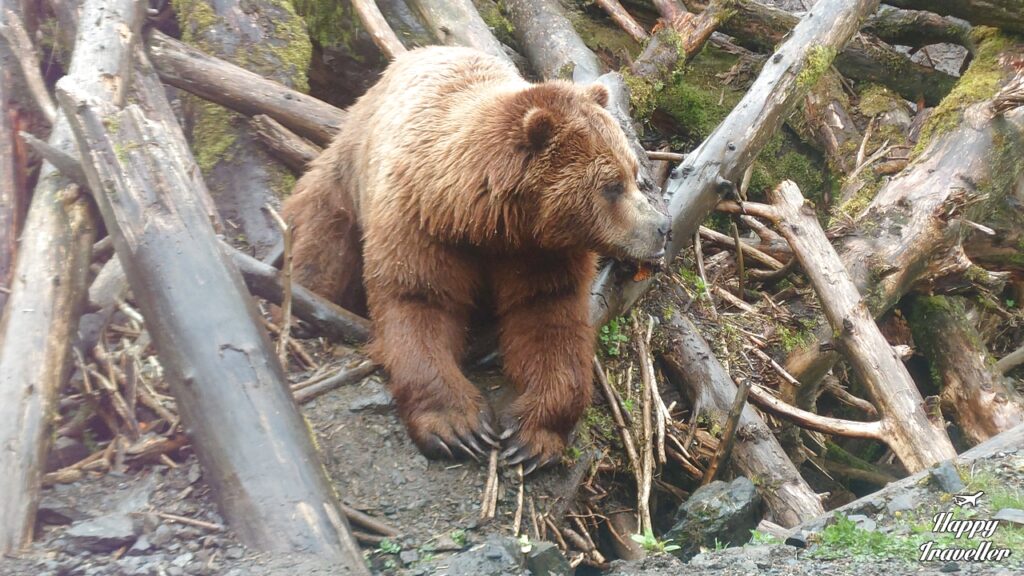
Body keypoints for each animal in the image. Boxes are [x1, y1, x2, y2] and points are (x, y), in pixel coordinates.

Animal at [283, 46, 669, 472]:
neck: (485, 220)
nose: (661, 226)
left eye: (634, 173)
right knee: (324, 227)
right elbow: (419, 302)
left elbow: (548, 318)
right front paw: (457, 427)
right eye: (612, 186)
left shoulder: (539, 252)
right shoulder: (421, 225)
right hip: (350, 161)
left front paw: (532, 436)